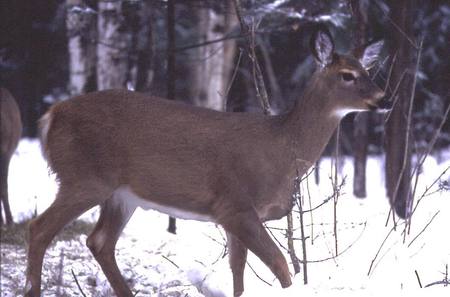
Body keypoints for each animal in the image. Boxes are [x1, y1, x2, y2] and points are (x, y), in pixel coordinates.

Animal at [25, 27, 390, 296]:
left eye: (368, 70)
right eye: (347, 75)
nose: (384, 98)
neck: (282, 148)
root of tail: (50, 116)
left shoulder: (236, 216)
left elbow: (239, 273)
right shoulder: (235, 205)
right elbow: (280, 264)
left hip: (121, 195)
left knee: (99, 241)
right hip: (84, 177)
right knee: (39, 228)